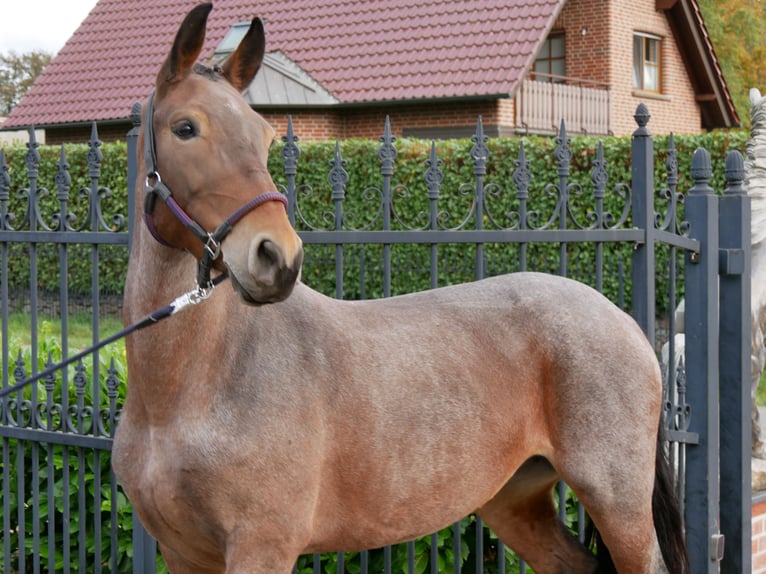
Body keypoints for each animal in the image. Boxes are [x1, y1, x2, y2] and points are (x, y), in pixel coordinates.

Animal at [112, 5, 688, 574]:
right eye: (186, 128)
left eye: (266, 136)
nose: (277, 257)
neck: (187, 391)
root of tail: (624, 321)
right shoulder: (185, 554)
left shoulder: (262, 547)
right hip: (515, 501)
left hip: (618, 503)